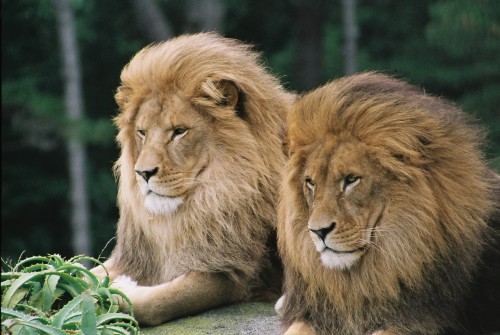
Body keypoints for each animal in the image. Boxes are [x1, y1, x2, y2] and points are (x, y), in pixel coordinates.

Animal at [90, 32, 294, 326]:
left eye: (179, 131)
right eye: (142, 132)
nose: (143, 173)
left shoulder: (234, 274)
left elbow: (163, 300)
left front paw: (116, 293)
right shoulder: (135, 258)